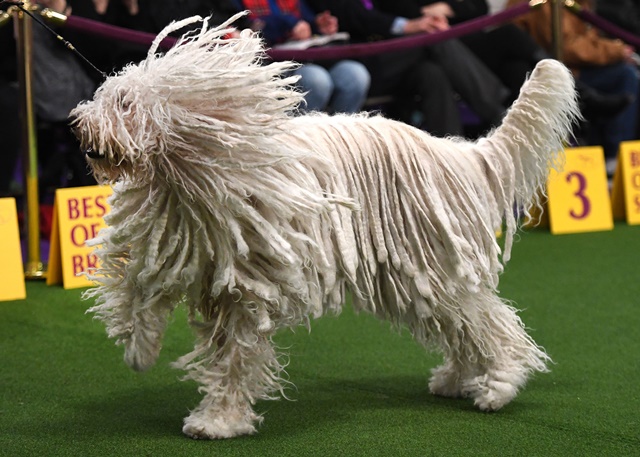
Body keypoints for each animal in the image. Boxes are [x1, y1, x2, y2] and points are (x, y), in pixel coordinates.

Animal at [70, 13, 580, 438]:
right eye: (108, 94)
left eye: (125, 103)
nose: (77, 122)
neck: (196, 172)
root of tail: (455, 154)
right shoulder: (175, 245)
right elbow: (139, 291)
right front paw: (141, 349)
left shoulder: (248, 284)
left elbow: (236, 355)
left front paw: (217, 420)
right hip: (412, 275)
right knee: (459, 322)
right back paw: (456, 379)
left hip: (429, 260)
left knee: (484, 320)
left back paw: (500, 383)